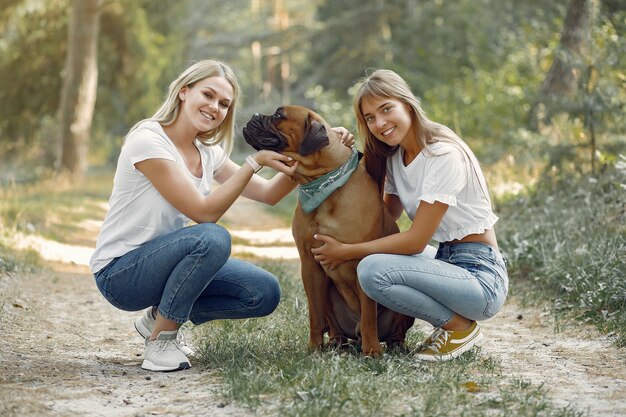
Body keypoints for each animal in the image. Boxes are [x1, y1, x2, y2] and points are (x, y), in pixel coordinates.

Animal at [241, 104, 412, 354]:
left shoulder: (361, 260)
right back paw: (335, 342)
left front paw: (372, 350)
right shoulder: (309, 265)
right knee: (332, 324)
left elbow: (369, 315)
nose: (253, 116)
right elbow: (315, 314)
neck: (324, 183)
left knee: (393, 328)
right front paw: (313, 347)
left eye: (279, 115)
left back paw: (393, 344)